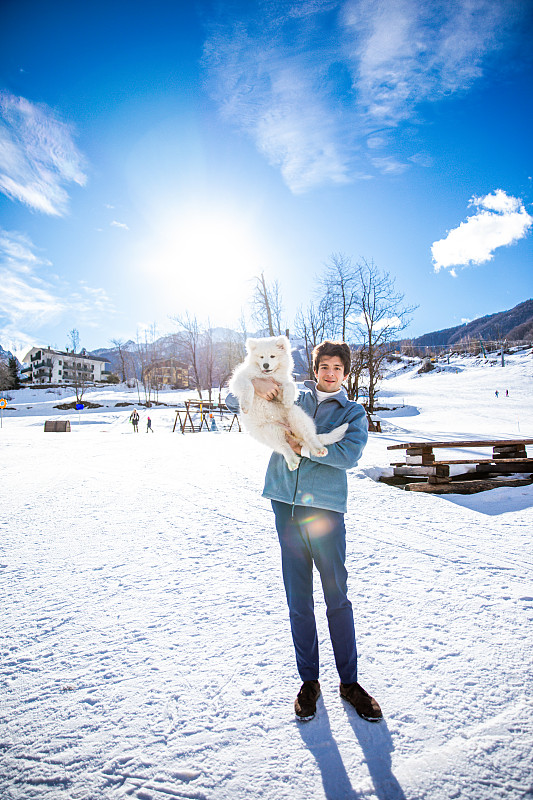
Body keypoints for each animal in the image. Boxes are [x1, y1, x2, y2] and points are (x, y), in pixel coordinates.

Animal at [230, 332, 350, 468]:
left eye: (272, 356)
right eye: (261, 357)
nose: (265, 365)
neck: (268, 375)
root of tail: (287, 430)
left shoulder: (280, 385)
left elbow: (290, 385)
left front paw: (287, 401)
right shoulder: (240, 379)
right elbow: (249, 386)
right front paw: (245, 405)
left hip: (297, 416)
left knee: (309, 436)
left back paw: (318, 449)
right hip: (269, 432)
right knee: (284, 446)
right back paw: (293, 461)